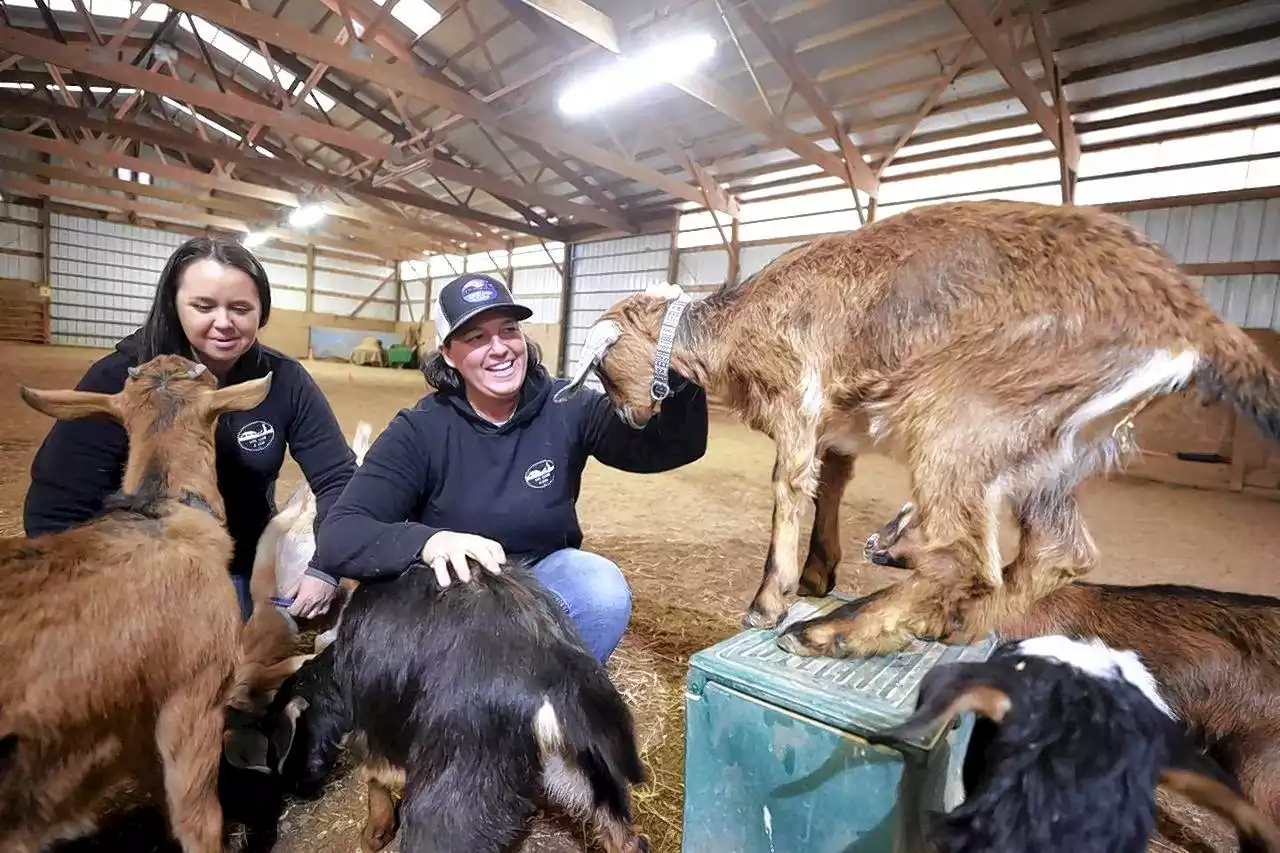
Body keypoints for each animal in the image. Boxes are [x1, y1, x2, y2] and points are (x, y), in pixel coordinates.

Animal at [279, 550, 650, 850]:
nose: (295, 789)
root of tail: (557, 677)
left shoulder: (378, 731)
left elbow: (373, 775)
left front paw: (374, 835)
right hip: (594, 778)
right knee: (628, 842)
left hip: (455, 802)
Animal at [558, 199, 1280, 655]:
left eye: (604, 369)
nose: (632, 416)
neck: (741, 321)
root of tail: (1187, 311)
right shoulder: (837, 426)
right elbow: (832, 485)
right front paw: (819, 576)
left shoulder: (798, 399)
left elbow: (790, 488)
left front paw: (771, 600)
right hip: (1055, 444)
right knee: (1056, 551)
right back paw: (942, 623)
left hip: (964, 411)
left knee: (971, 555)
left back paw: (836, 634)